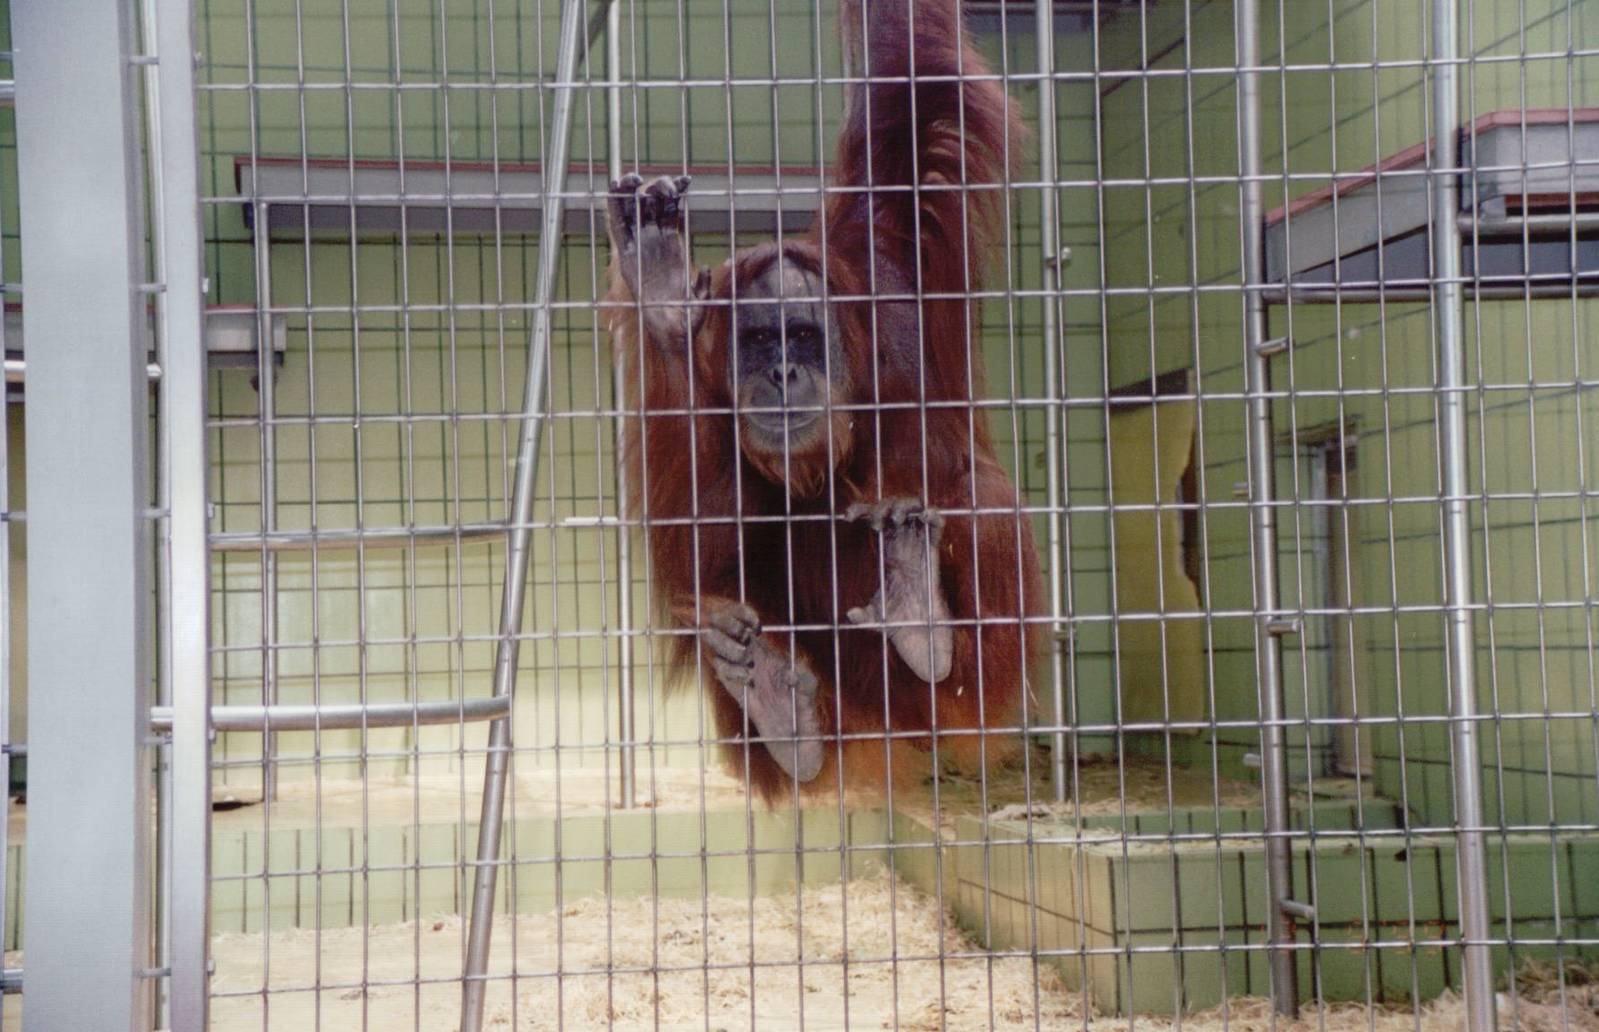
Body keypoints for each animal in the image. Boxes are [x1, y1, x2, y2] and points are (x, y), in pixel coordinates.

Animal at [604, 0, 1043, 801]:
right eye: (759, 342)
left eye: (803, 337)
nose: (781, 373)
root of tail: (884, 736)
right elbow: (700, 529)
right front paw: (661, 296)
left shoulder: (891, 263)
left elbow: (912, 81)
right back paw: (785, 718)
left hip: (967, 701)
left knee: (977, 494)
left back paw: (923, 631)